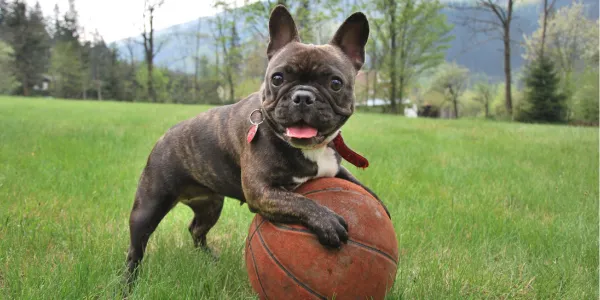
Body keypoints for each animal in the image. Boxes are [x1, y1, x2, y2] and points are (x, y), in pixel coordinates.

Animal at [124, 4, 392, 282]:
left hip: (211, 205)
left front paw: (380, 205)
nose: (303, 96)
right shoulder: (262, 191)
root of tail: (164, 137)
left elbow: (359, 185)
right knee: (136, 248)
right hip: (149, 206)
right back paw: (129, 283)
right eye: (277, 78)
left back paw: (209, 259)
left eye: (335, 83)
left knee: (196, 230)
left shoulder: (334, 168)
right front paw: (327, 221)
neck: (309, 148)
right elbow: (300, 201)